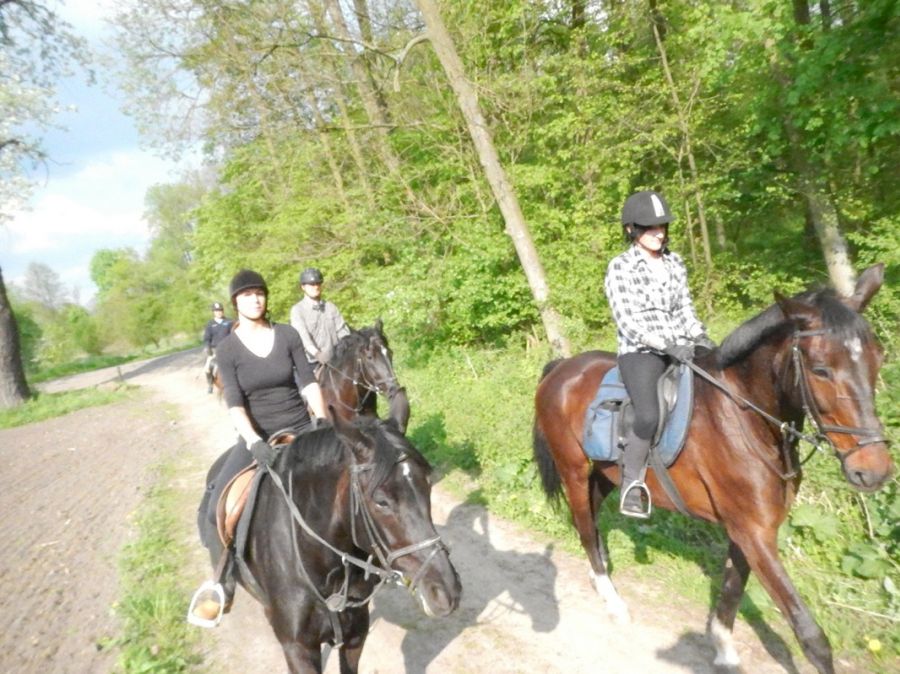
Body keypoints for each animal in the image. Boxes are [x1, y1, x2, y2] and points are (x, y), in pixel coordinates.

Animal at [532, 264, 893, 674]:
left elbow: (731, 591)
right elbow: (810, 635)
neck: (745, 417)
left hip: (609, 473)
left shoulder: (748, 530)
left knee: (592, 514)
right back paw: (613, 600)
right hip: (572, 469)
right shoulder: (754, 532)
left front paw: (723, 649)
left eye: (878, 359)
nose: (874, 470)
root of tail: (562, 368)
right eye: (821, 370)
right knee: (584, 526)